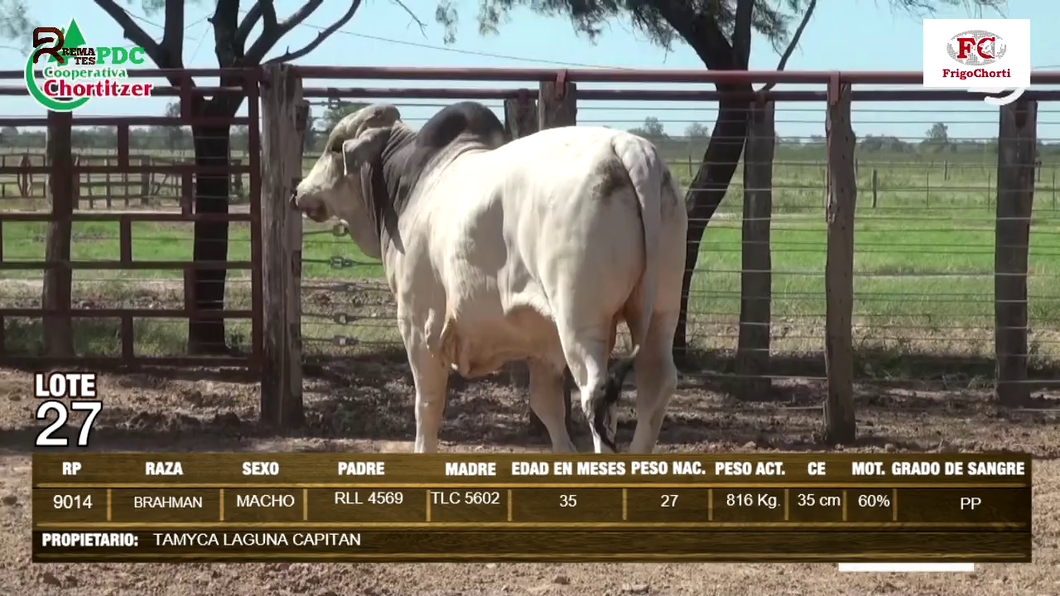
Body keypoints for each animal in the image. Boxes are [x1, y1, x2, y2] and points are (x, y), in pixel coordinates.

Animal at [292, 101, 686, 451]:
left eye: (333, 147)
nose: (298, 192)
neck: (407, 184)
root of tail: (628, 148)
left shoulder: (419, 325)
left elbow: (427, 404)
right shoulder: (542, 341)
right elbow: (546, 407)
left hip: (580, 319)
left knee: (597, 394)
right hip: (660, 312)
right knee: (656, 384)